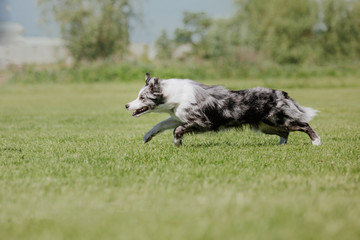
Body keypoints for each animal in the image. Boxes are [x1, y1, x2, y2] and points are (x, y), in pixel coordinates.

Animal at [126, 72, 320, 145]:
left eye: (142, 97)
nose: (127, 105)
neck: (174, 96)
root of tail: (281, 93)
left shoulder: (201, 122)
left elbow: (177, 129)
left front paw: (177, 142)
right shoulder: (178, 116)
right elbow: (160, 125)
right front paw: (146, 137)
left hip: (279, 120)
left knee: (304, 125)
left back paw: (316, 142)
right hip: (267, 126)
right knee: (285, 133)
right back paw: (281, 146)